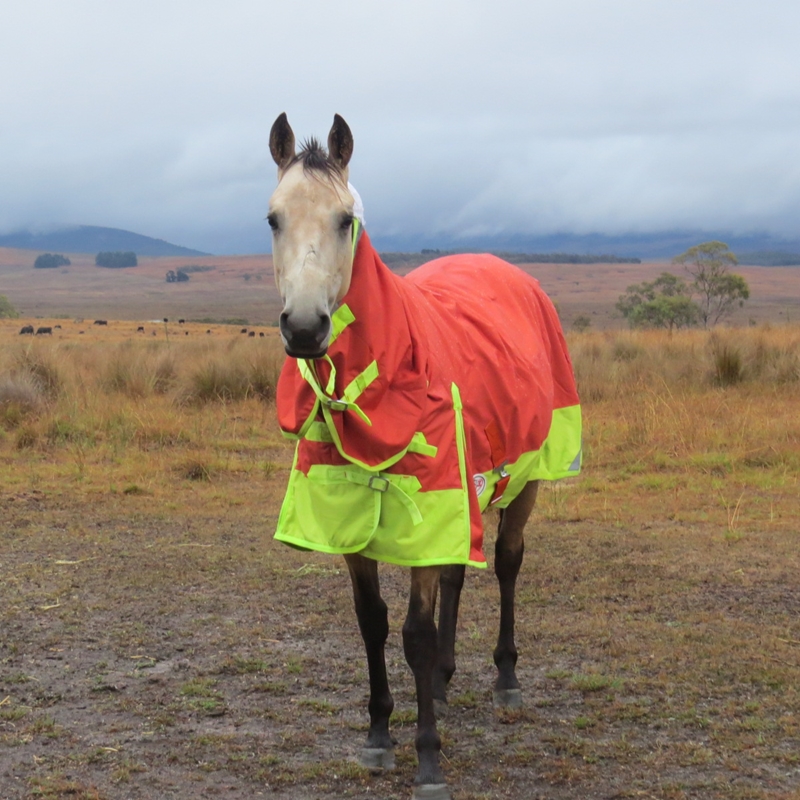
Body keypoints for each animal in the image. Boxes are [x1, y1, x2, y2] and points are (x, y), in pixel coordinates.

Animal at [268, 113, 582, 800]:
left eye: (345, 220)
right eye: (273, 218)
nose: (304, 328)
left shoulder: (432, 505)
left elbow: (413, 631)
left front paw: (429, 757)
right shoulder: (351, 514)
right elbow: (373, 621)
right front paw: (379, 735)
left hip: (527, 481)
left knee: (507, 562)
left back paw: (505, 680)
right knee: (458, 573)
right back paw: (441, 678)